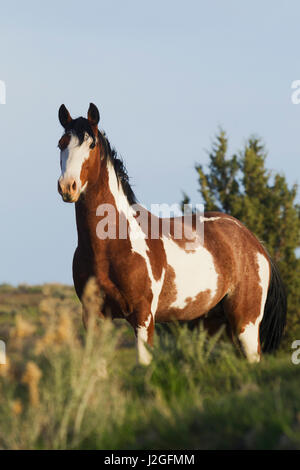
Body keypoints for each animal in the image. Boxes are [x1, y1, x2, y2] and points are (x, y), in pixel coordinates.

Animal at [57, 103, 288, 366]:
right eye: (61, 144)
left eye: (91, 145)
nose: (67, 187)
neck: (110, 246)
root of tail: (254, 243)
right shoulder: (93, 317)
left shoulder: (143, 316)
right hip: (215, 326)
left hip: (245, 325)